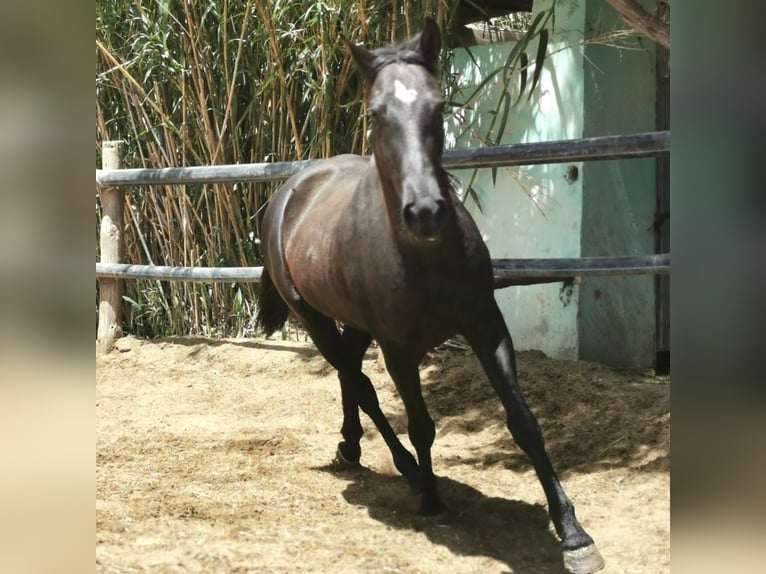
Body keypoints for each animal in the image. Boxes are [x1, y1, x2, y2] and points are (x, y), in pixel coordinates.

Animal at [258, 18, 608, 574]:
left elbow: (524, 422)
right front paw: (431, 499)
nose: (425, 213)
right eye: (375, 113)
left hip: (353, 323)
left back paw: (350, 447)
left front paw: (573, 534)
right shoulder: (399, 350)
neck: (426, 262)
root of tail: (290, 190)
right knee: (360, 382)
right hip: (312, 318)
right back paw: (406, 469)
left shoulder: (486, 326)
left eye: (439, 105)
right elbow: (422, 424)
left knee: (349, 375)